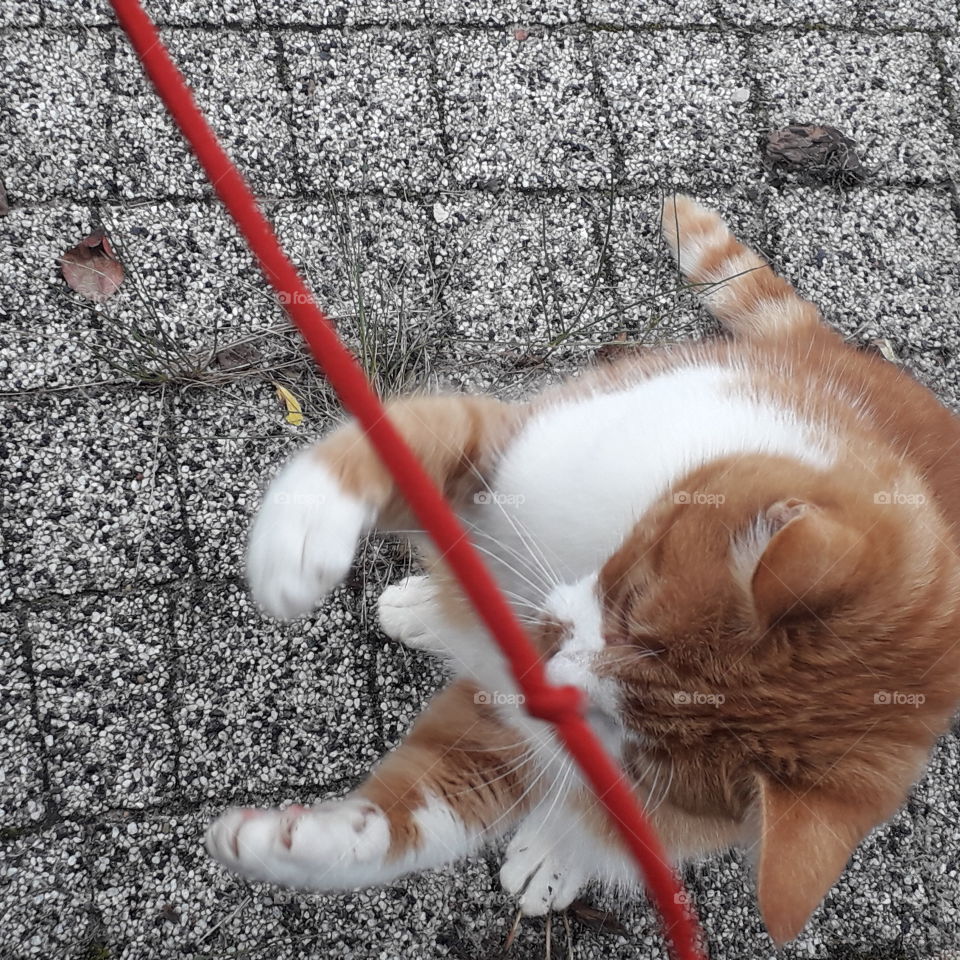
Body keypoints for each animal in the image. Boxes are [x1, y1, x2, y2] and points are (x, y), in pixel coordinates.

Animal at [206, 195, 960, 944]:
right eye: (631, 603)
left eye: (627, 741)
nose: (539, 672)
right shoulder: (498, 455)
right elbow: (398, 447)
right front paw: (301, 533)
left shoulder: (521, 732)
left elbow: (437, 810)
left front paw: (316, 845)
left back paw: (553, 851)